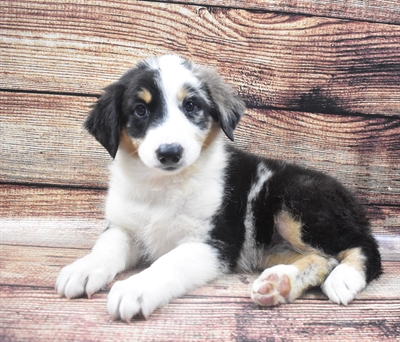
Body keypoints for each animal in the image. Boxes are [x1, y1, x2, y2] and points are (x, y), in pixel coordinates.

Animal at [55, 53, 382, 320]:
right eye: (139, 110)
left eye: (191, 106)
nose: (170, 153)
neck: (163, 187)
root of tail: (351, 200)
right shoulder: (123, 227)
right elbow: (106, 247)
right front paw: (83, 269)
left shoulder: (214, 243)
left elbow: (168, 262)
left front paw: (135, 288)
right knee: (323, 258)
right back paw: (280, 285)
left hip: (297, 202)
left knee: (364, 246)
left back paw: (345, 278)